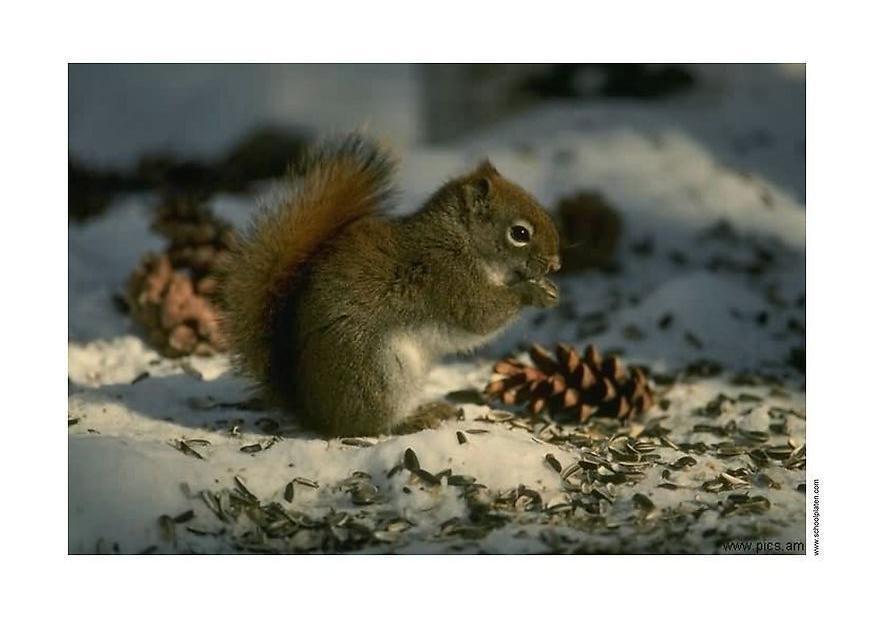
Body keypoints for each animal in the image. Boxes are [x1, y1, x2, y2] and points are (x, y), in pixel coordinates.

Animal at [218, 135, 561, 437]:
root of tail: (312, 411)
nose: (556, 264)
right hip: (379, 373)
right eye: (519, 233)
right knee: (369, 426)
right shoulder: (449, 277)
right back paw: (416, 418)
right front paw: (534, 292)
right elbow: (481, 315)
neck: (462, 241)